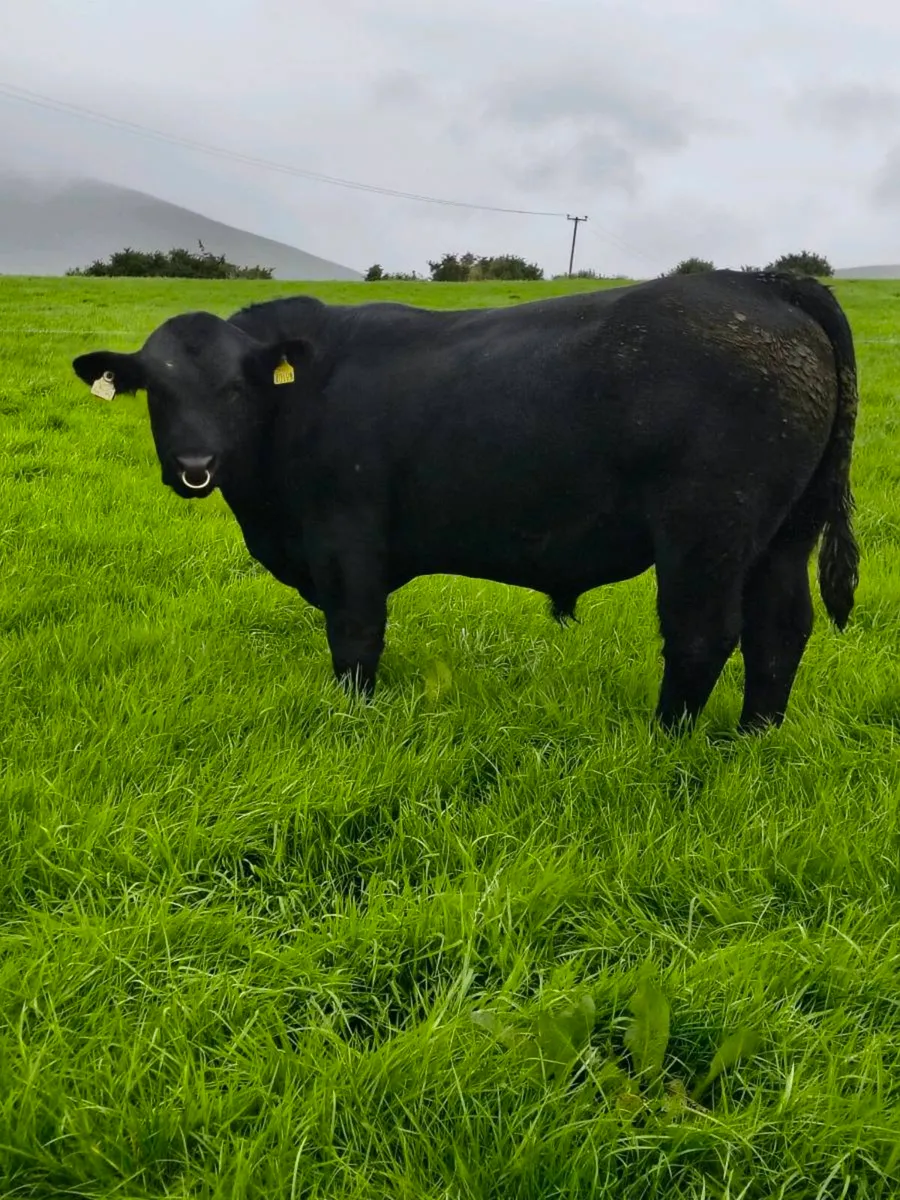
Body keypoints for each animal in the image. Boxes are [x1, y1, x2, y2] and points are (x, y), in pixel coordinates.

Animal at [71, 269, 860, 732]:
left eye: (238, 386)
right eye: (157, 389)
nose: (194, 466)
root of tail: (762, 283)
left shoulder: (346, 538)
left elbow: (355, 638)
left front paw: (354, 717)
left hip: (706, 529)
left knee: (702, 633)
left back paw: (665, 737)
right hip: (783, 534)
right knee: (779, 630)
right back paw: (754, 735)